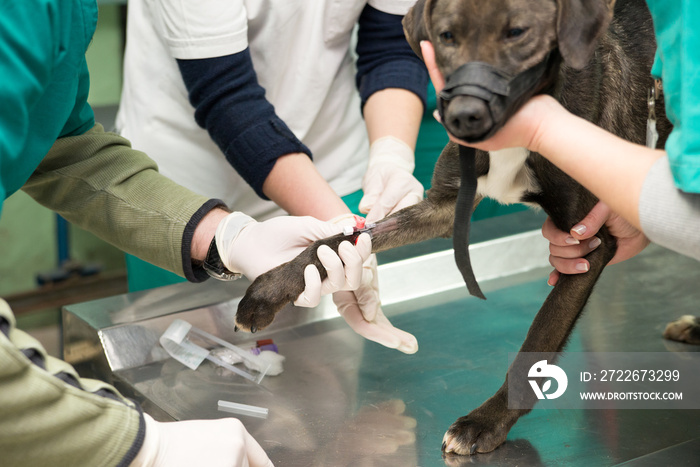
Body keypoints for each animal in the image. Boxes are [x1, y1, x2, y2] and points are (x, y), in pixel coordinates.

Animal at [234, 0, 672, 458]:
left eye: (517, 32)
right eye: (447, 37)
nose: (464, 114)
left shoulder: (590, 239)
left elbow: (537, 342)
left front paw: (486, 422)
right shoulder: (444, 206)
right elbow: (341, 241)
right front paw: (268, 290)